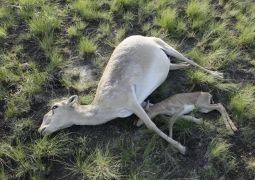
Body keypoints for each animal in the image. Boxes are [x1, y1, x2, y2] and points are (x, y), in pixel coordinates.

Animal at [38, 34, 223, 155]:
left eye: (54, 107)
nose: (41, 130)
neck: (104, 107)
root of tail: (137, 36)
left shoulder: (132, 102)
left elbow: (151, 125)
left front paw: (182, 148)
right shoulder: (141, 103)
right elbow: (161, 111)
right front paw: (197, 120)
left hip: (165, 45)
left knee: (190, 60)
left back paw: (219, 74)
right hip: (168, 62)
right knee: (178, 65)